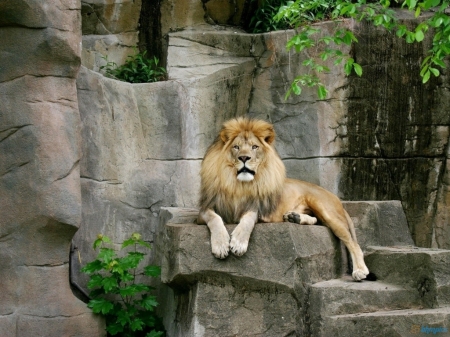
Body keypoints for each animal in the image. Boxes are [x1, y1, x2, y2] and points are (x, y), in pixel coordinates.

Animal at [199, 117, 370, 280]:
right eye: (236, 147)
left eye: (254, 147)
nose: (244, 158)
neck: (238, 185)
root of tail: (334, 196)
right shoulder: (204, 209)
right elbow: (214, 218)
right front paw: (221, 245)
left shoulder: (258, 208)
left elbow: (248, 219)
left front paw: (239, 243)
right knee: (318, 221)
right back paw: (294, 217)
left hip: (325, 209)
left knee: (353, 243)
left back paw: (360, 271)